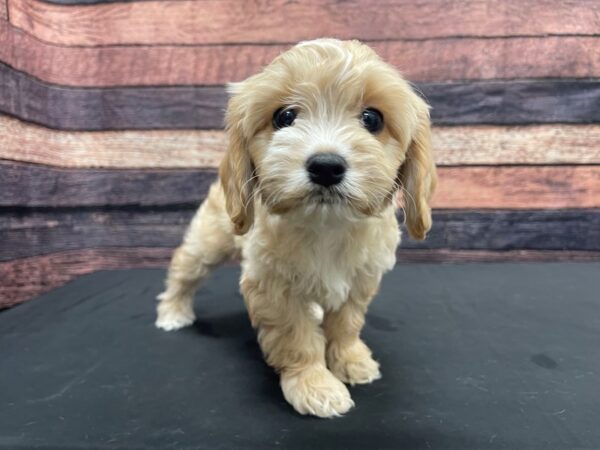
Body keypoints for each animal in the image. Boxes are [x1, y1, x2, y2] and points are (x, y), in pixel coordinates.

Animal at [155, 38, 436, 418]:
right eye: (284, 117)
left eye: (372, 118)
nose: (326, 166)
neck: (327, 224)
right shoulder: (274, 287)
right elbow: (296, 337)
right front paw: (314, 385)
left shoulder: (360, 279)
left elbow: (347, 324)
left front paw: (351, 360)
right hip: (211, 237)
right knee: (186, 267)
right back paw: (173, 311)